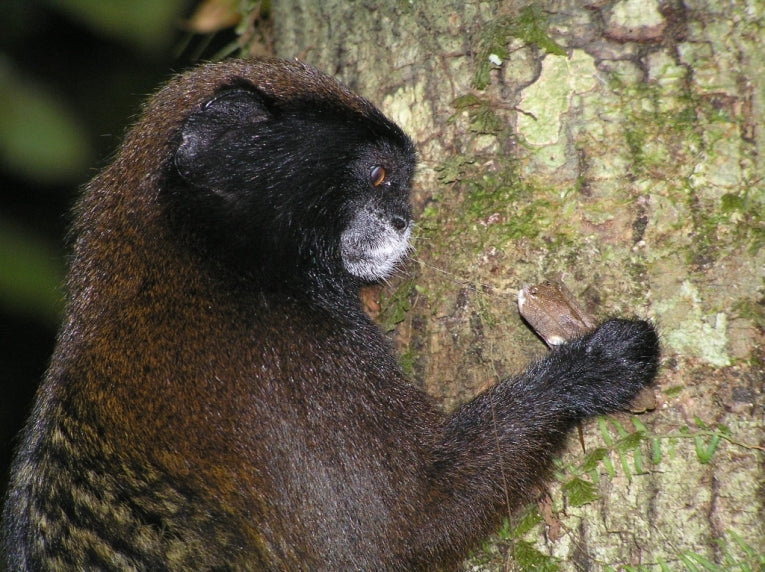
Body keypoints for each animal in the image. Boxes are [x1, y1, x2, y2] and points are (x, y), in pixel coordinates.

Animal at [3, 58, 659, 570]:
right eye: (379, 175)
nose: (402, 220)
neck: (206, 258)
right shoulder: (287, 369)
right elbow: (404, 527)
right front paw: (587, 372)